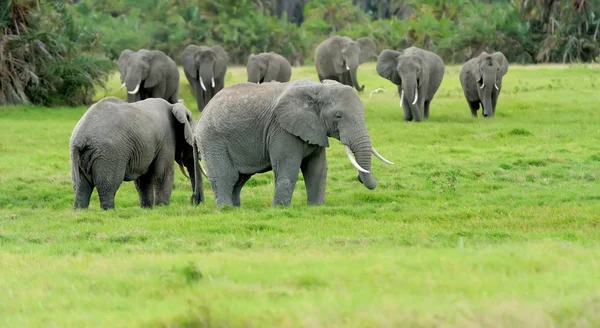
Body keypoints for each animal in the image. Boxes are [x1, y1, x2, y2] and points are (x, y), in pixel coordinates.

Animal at [69, 97, 203, 210]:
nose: (194, 201)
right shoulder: (166, 141)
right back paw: (109, 210)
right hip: (109, 154)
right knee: (108, 185)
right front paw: (162, 207)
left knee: (81, 187)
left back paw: (81, 210)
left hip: (80, 156)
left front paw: (147, 208)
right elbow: (163, 174)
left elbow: (143, 179)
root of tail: (81, 138)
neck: (174, 106)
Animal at [189, 79, 394, 208]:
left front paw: (316, 207)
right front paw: (279, 209)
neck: (317, 89)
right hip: (213, 140)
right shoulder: (282, 129)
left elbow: (317, 169)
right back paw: (226, 209)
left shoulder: (314, 128)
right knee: (226, 176)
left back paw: (237, 208)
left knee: (239, 178)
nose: (360, 178)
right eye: (338, 116)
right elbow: (289, 168)